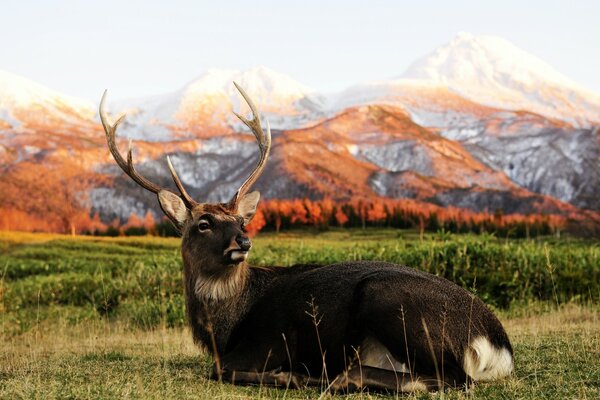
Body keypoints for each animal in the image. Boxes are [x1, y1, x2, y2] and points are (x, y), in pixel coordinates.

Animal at [98, 83, 510, 394]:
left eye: (241, 221)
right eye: (203, 223)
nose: (242, 242)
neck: (224, 326)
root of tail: (497, 345)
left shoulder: (267, 341)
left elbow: (218, 369)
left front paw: (288, 375)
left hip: (390, 301)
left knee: (454, 377)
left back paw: (328, 377)